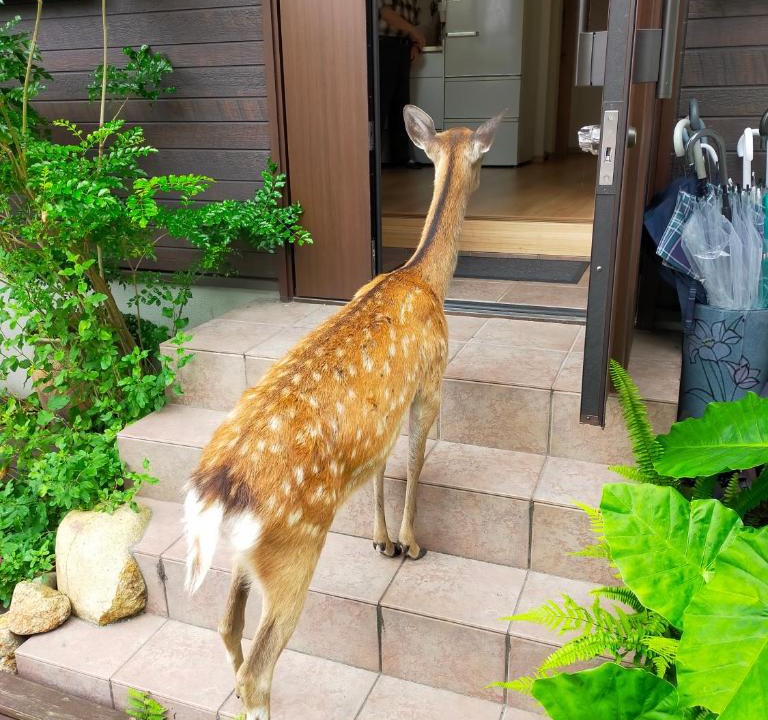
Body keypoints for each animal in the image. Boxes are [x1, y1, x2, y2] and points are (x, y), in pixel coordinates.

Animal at [184, 105, 500, 720]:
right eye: (482, 159)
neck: (423, 278)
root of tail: (216, 492)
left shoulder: (383, 417)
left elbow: (380, 467)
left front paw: (382, 540)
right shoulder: (430, 382)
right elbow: (416, 460)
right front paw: (410, 543)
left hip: (241, 556)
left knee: (226, 627)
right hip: (293, 552)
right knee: (259, 668)